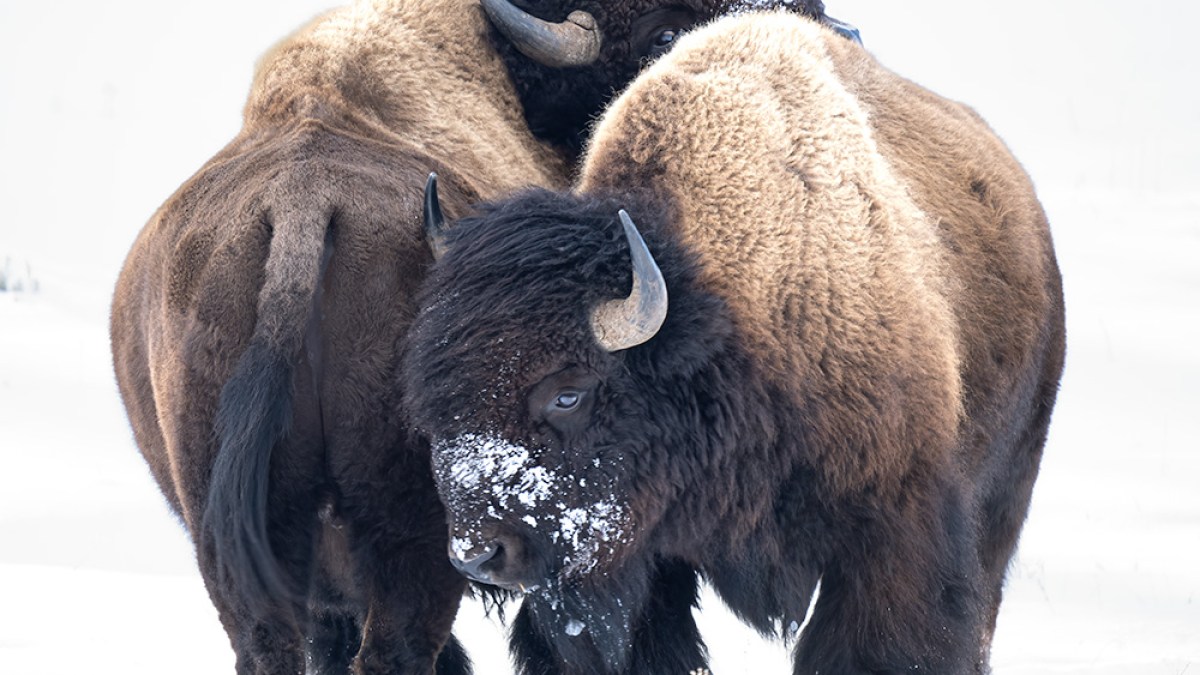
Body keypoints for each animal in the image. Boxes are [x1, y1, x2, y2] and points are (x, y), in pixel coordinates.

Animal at [407, 11, 1064, 675]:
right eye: (436, 398)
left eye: (568, 394)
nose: (477, 555)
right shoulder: (638, 563)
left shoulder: (891, 539)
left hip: (1003, 494)